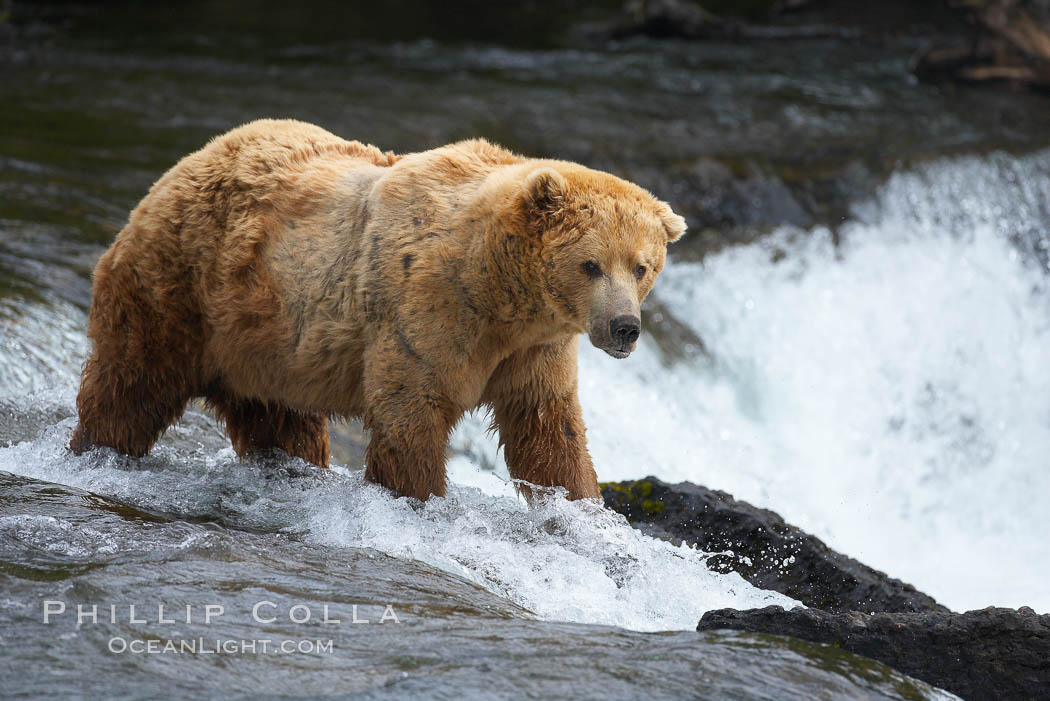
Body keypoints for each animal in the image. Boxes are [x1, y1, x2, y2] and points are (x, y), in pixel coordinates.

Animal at [69, 119, 684, 497]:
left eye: (641, 266)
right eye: (591, 264)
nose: (624, 327)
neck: (497, 291)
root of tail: (179, 167)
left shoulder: (535, 349)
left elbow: (548, 432)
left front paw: (579, 509)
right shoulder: (426, 310)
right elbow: (412, 416)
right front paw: (418, 494)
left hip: (263, 342)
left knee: (278, 422)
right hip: (179, 289)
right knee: (130, 384)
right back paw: (97, 450)